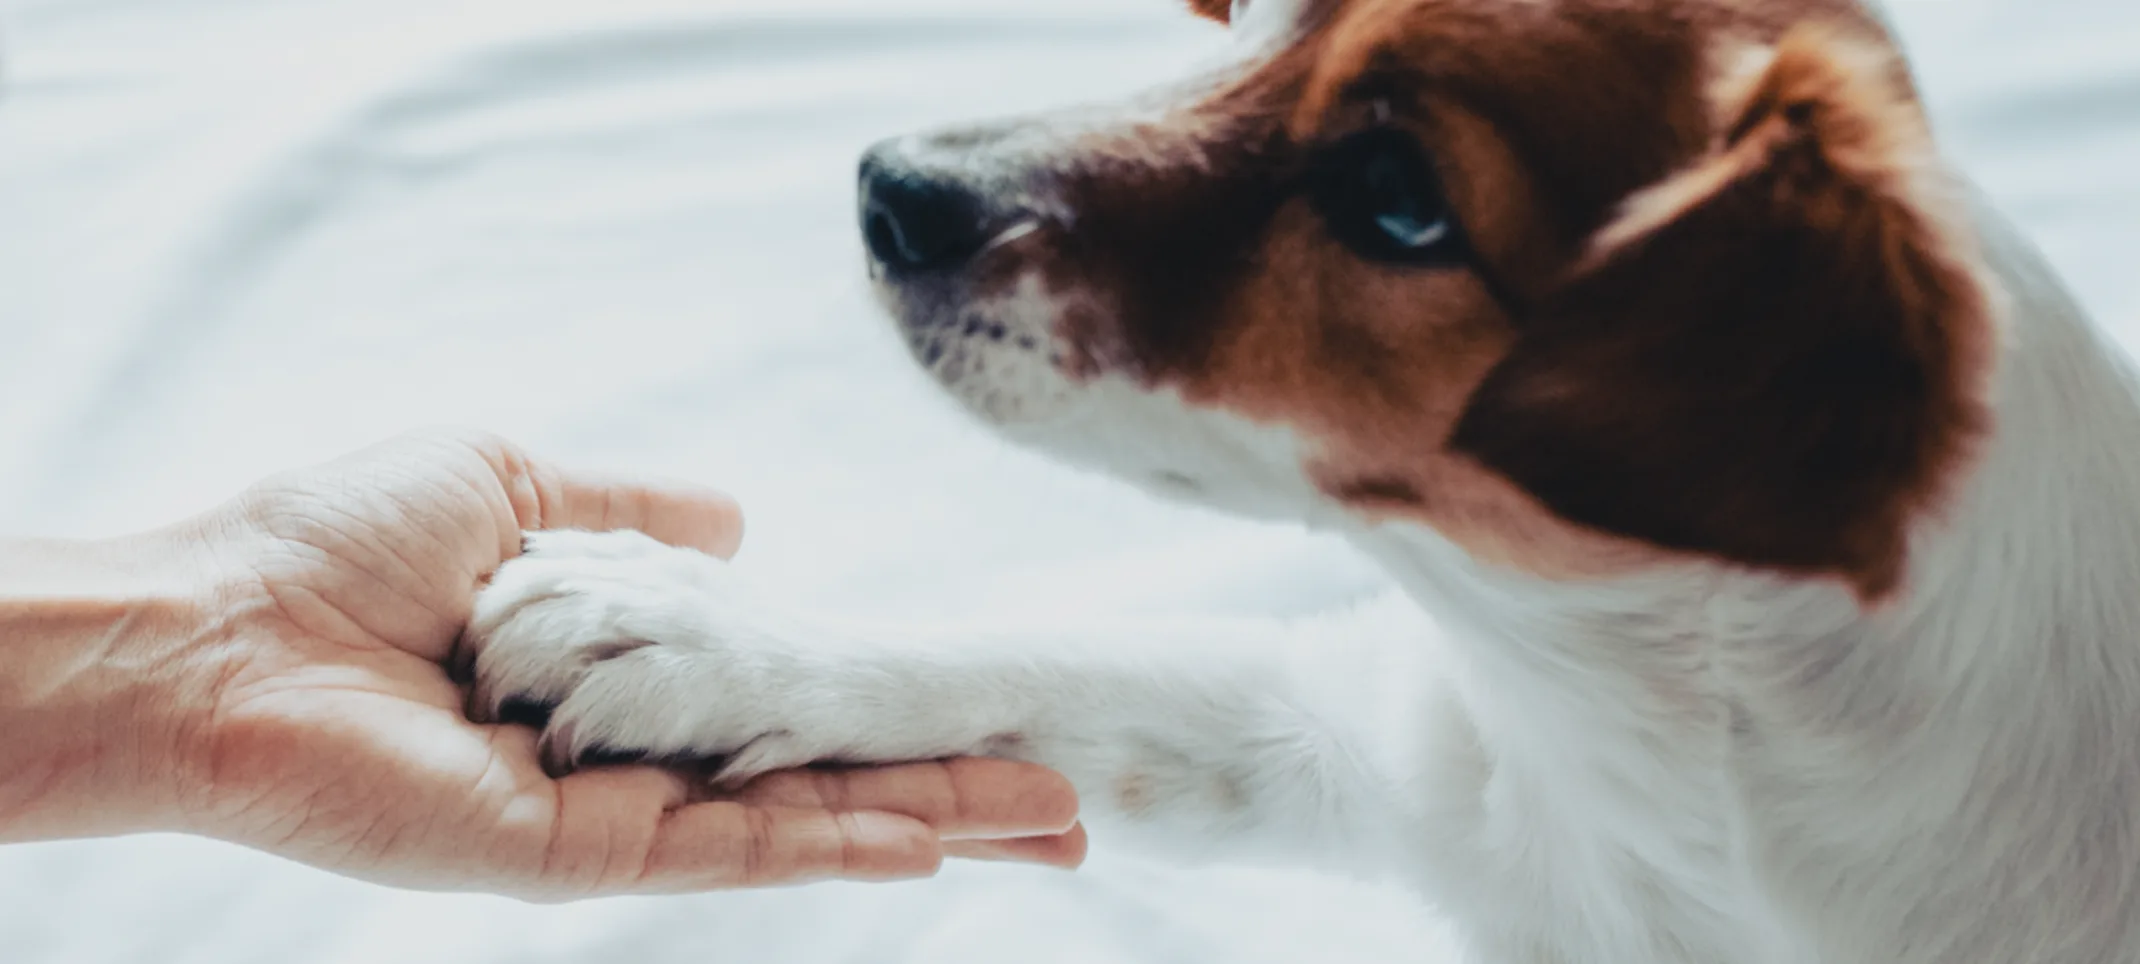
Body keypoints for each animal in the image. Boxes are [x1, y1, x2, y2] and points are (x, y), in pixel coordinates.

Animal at [460, 3, 2140, 959]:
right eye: (1264, 18)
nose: (890, 187)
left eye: (1395, 198)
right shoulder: (1373, 742)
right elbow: (1063, 657)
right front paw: (708, 636)